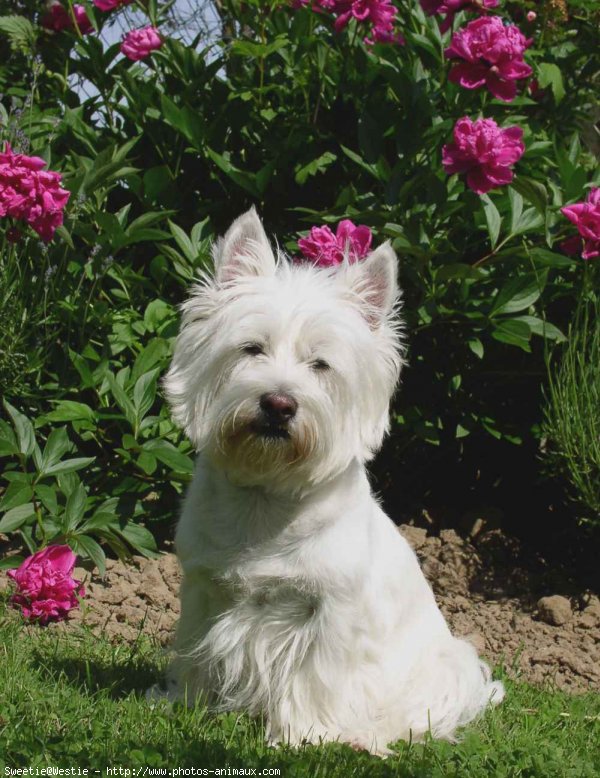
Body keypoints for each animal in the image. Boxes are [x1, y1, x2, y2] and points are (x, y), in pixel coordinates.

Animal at [157, 208, 504, 752]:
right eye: (251, 349)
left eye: (320, 364)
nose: (278, 404)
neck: (267, 499)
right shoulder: (203, 588)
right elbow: (195, 649)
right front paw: (184, 703)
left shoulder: (331, 611)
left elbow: (316, 677)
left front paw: (304, 736)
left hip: (451, 667)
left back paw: (367, 737)